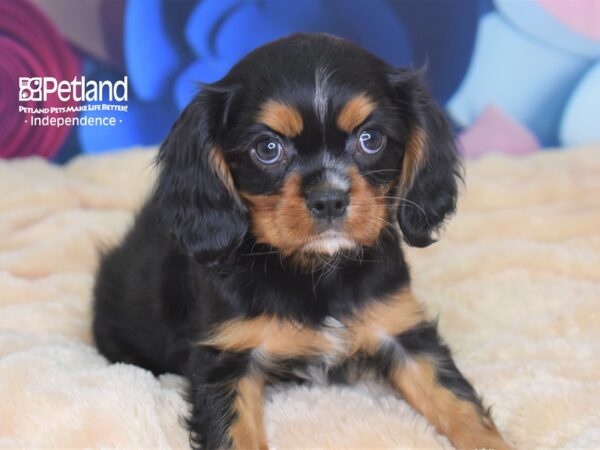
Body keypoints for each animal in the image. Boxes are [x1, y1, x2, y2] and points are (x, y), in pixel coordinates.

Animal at [91, 33, 508, 448]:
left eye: (371, 139)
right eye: (267, 148)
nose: (330, 199)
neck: (316, 269)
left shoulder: (401, 330)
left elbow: (459, 403)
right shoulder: (226, 358)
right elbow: (237, 436)